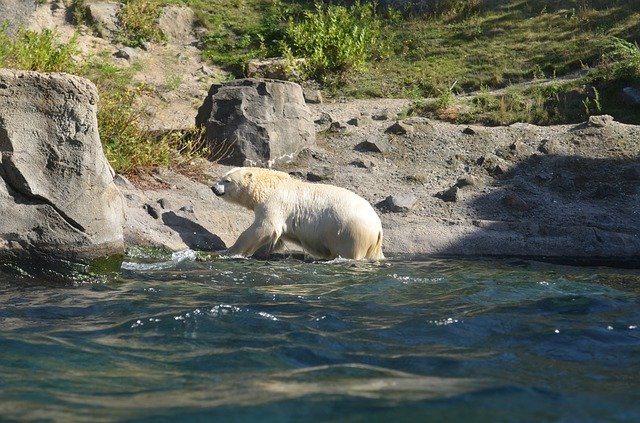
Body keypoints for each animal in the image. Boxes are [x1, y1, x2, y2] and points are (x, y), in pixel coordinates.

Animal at [212, 166, 384, 260]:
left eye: (227, 180)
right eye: (221, 177)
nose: (214, 188)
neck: (269, 186)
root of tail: (378, 228)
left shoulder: (275, 203)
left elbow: (264, 227)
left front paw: (231, 251)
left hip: (349, 233)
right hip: (371, 243)